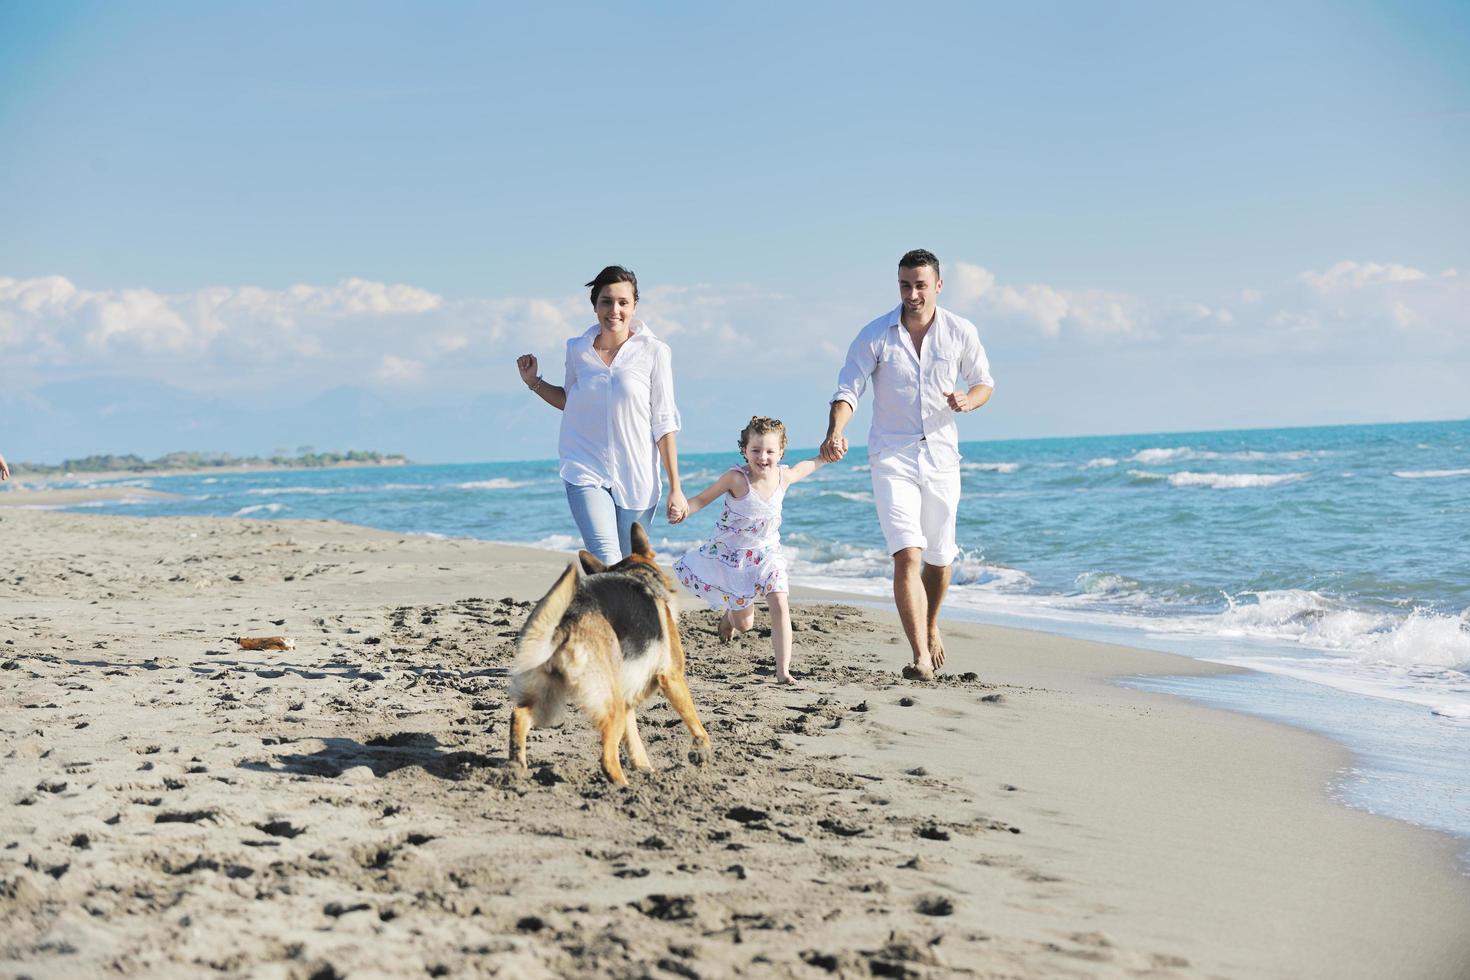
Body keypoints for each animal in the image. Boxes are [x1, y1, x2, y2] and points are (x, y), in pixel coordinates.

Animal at [505, 525, 711, 787]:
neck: (637, 574)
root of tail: (566, 621)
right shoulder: (672, 677)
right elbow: (694, 720)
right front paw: (702, 750)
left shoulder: (627, 698)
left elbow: (635, 742)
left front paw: (645, 768)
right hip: (608, 706)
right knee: (607, 759)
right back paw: (624, 787)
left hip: (550, 704)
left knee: (519, 716)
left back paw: (516, 767)